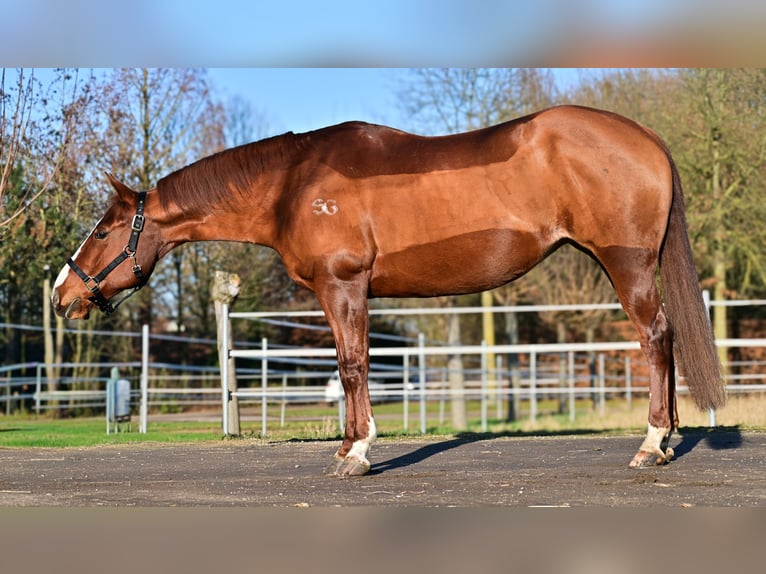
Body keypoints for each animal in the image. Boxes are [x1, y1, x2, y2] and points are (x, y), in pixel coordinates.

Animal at [52, 105, 725, 476]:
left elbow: (353, 365)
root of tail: (644, 137)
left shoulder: (344, 286)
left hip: (626, 264)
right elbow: (346, 366)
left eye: (104, 229)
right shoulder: (337, 294)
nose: (62, 294)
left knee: (655, 337)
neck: (292, 185)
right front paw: (347, 446)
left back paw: (652, 444)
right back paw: (665, 442)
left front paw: (358, 454)